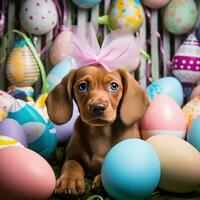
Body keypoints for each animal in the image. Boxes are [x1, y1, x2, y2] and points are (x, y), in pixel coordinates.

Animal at [45, 65, 148, 195]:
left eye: (114, 86)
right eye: (83, 86)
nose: (98, 107)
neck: (100, 133)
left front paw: (104, 180)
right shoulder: (72, 156)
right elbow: (71, 164)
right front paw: (69, 180)